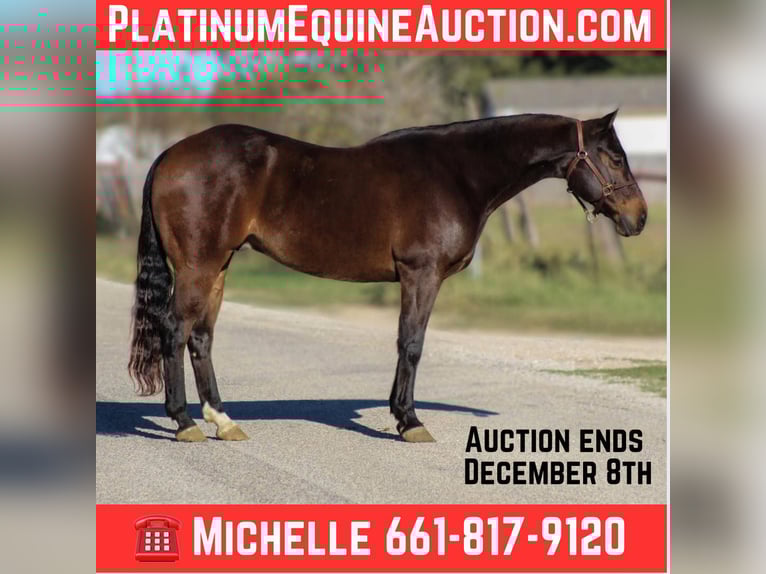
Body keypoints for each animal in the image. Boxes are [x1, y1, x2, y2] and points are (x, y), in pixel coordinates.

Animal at [128, 110, 647, 443]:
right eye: (614, 157)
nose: (639, 217)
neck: (457, 172)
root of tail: (170, 154)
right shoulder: (422, 274)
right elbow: (411, 344)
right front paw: (409, 421)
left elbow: (407, 344)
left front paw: (402, 415)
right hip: (198, 267)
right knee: (174, 331)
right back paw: (184, 423)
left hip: (217, 266)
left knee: (201, 338)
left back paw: (223, 421)